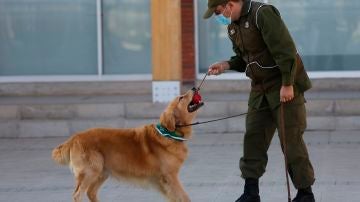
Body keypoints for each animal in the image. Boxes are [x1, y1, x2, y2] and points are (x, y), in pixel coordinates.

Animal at [51, 89, 202, 201]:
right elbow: (184, 197)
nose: (194, 88)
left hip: (101, 172)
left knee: (91, 193)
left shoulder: (165, 182)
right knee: (78, 195)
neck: (170, 132)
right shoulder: (170, 176)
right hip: (90, 171)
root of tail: (74, 138)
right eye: (181, 98)